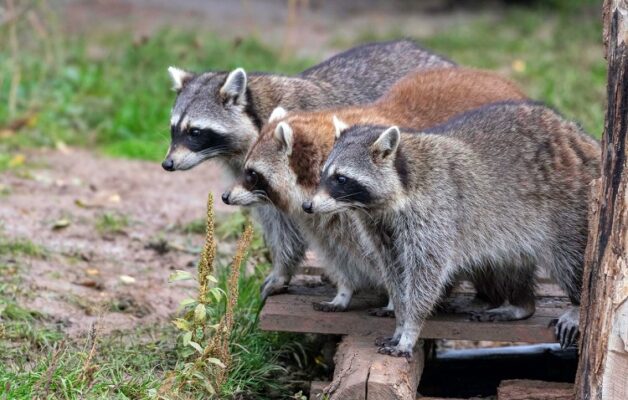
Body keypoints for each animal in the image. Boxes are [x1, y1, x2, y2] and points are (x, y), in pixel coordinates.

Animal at [223, 69, 528, 312]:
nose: (225, 196)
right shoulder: (324, 215)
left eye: (252, 174)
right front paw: (344, 290)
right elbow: (338, 250)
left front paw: (395, 302)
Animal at [310, 101, 604, 356]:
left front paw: (410, 329)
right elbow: (394, 273)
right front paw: (400, 321)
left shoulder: (436, 214)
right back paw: (521, 304)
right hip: (504, 227)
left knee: (571, 258)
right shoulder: (379, 227)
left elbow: (425, 275)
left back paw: (576, 304)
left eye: (341, 179)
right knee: (505, 263)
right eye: (323, 174)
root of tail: (582, 138)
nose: (307, 206)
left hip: (570, 204)